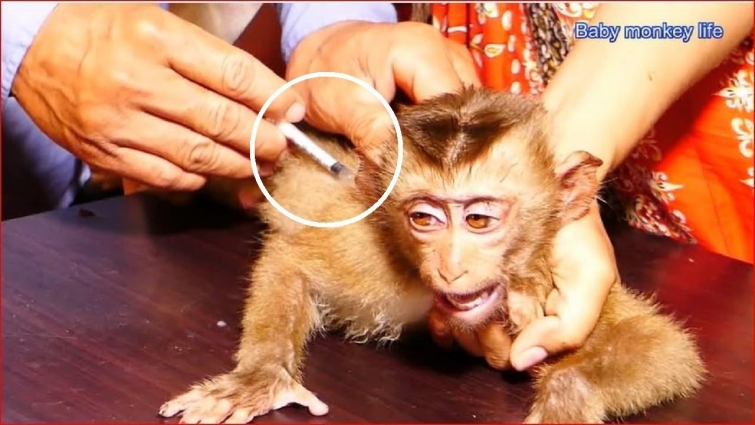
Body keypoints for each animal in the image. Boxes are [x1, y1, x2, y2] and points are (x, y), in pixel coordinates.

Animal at [158, 86, 706, 424]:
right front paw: (261, 379)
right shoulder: (367, 249)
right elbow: (288, 260)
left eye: (479, 221)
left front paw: (564, 402)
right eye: (424, 219)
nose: (450, 266)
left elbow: (663, 349)